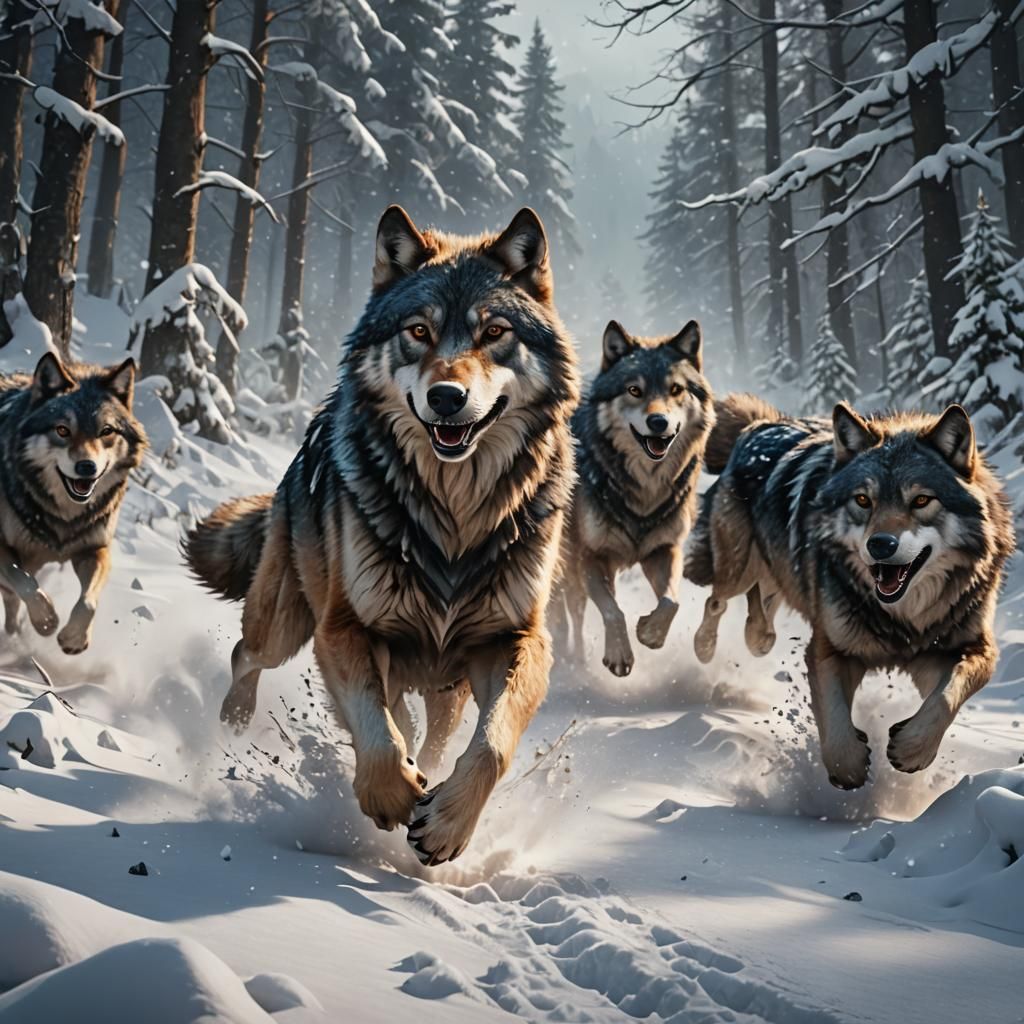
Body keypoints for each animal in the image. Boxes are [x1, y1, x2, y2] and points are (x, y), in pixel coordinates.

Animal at [0, 353, 145, 654]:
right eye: (62, 430)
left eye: (106, 431)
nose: (87, 467)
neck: (63, 517)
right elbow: (26, 583)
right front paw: (45, 621)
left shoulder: (94, 550)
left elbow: (88, 602)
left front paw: (74, 638)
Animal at [184, 206, 579, 866]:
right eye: (418, 331)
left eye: (493, 332)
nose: (447, 396)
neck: (453, 518)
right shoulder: (345, 629)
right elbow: (377, 727)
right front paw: (390, 794)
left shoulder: (517, 639)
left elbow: (491, 744)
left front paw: (445, 822)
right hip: (285, 624)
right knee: (247, 655)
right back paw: (233, 723)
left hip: (448, 681)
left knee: (438, 730)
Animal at [555, 320, 714, 676]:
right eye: (634, 390)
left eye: (676, 389)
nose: (658, 421)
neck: (643, 491)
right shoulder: (590, 556)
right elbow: (613, 611)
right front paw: (618, 656)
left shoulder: (664, 550)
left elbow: (670, 602)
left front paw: (650, 634)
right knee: (571, 614)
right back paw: (571, 660)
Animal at [685, 394, 1014, 788]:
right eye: (863, 500)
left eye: (921, 501)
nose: (881, 545)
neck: (901, 619)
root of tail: (760, 423)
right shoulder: (829, 649)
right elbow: (834, 715)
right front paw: (849, 769)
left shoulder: (969, 648)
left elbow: (946, 698)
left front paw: (912, 751)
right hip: (738, 565)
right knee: (717, 600)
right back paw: (704, 646)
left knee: (763, 605)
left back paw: (758, 634)